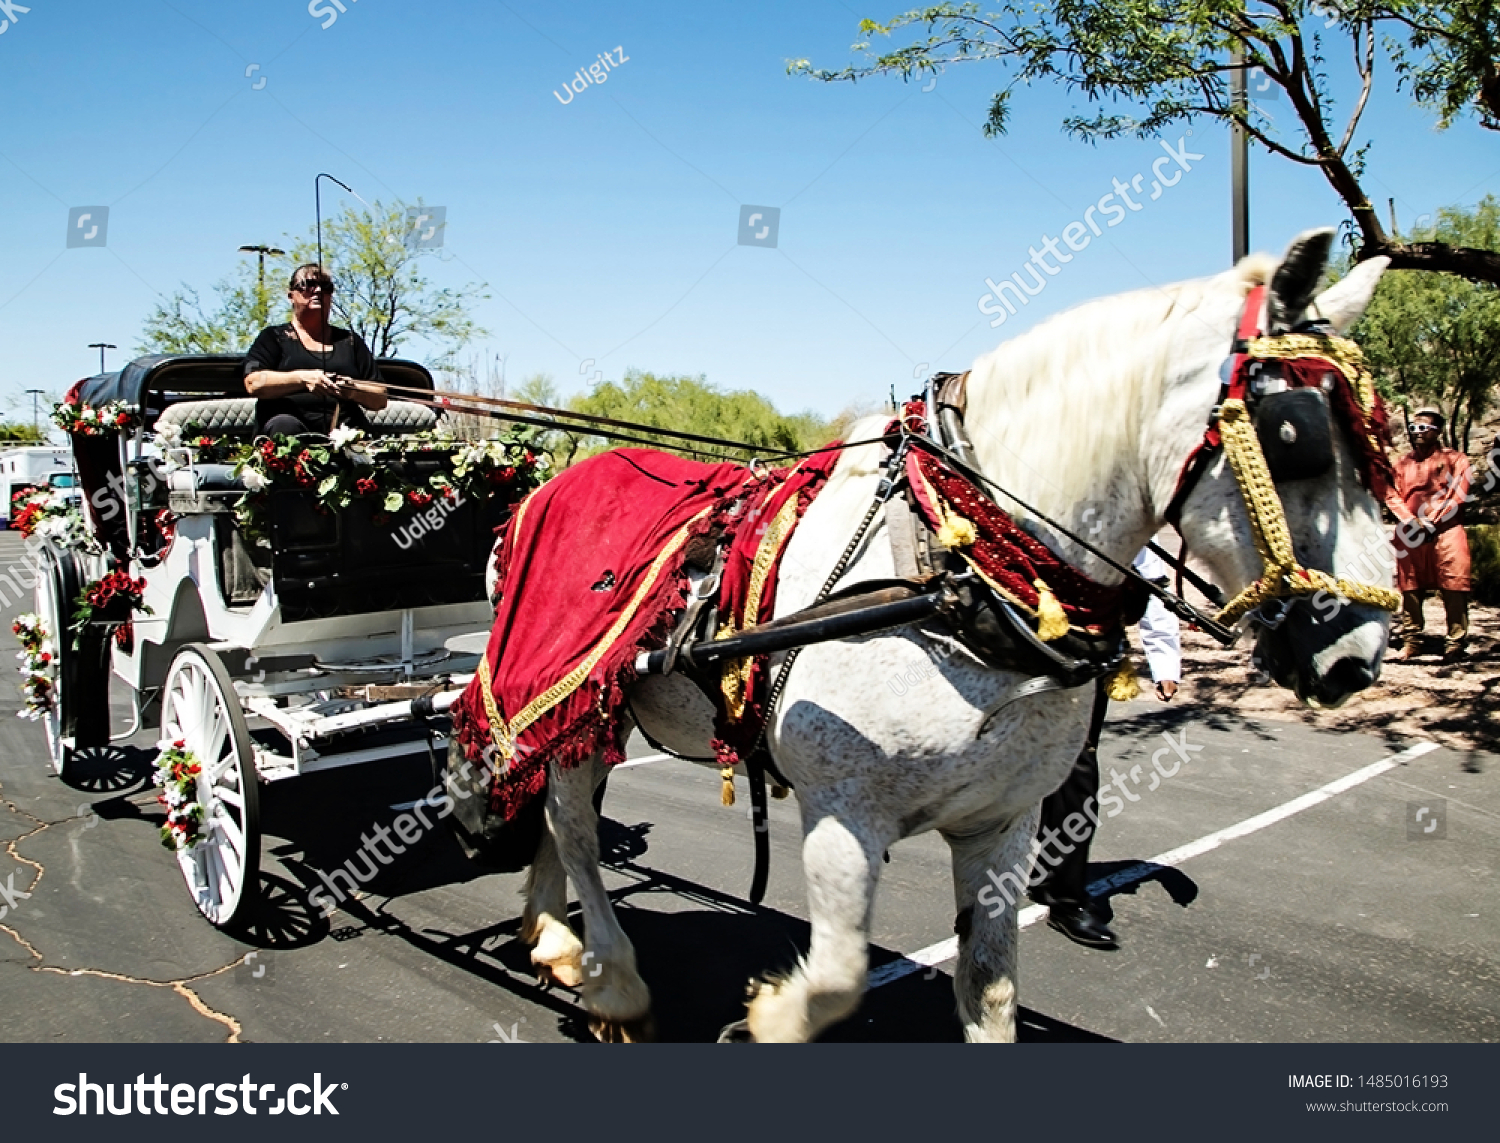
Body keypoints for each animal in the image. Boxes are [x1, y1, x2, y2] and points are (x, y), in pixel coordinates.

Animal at [513, 226, 1392, 1038]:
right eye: (1294, 435)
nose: (1359, 654)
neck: (954, 571)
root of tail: (544, 488)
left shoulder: (1001, 822)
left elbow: (990, 984)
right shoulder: (843, 816)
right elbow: (838, 980)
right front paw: (767, 1014)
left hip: (594, 711)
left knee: (560, 814)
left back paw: (554, 936)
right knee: (576, 826)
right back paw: (613, 979)